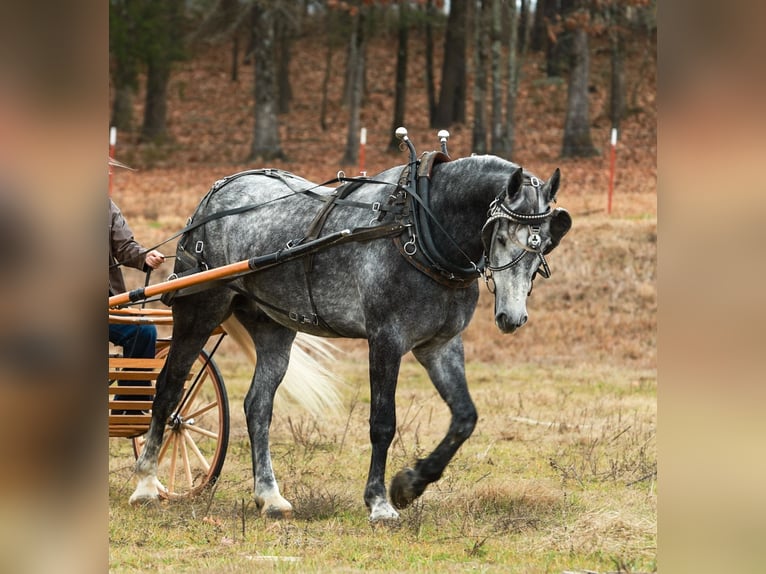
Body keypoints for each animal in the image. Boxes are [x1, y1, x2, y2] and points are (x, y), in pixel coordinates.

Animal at [128, 137, 571, 522]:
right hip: (199, 311)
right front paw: (379, 502)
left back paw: (269, 496)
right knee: (168, 390)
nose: (512, 317)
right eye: (501, 236)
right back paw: (147, 484)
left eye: (544, 245)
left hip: (273, 327)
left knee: (258, 406)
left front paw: (410, 484)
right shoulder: (386, 340)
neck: (418, 229)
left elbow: (464, 417)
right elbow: (383, 422)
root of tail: (216, 192)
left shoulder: (440, 345)